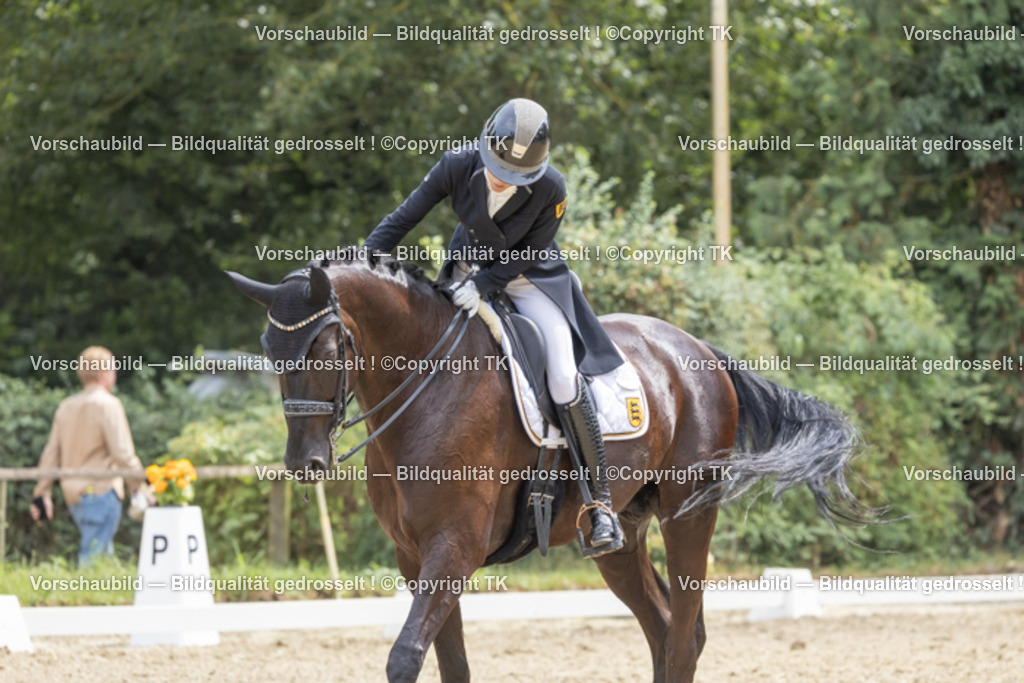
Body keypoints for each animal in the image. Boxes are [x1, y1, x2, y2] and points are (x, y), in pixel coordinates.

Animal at [228, 250, 871, 682]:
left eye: (326, 348)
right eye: (268, 349)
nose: (305, 461)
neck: (427, 386)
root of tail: (698, 350)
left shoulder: (453, 548)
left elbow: (406, 656)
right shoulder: (415, 556)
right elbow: (450, 662)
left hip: (688, 514)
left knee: (684, 637)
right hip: (620, 535)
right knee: (664, 627)